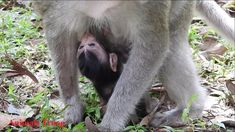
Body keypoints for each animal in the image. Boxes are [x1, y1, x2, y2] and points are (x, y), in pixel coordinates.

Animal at [32, 0, 233, 131]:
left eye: (92, 46)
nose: (87, 40)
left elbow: (153, 44)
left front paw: (111, 123)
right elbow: (59, 34)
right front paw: (72, 110)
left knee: (172, 45)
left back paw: (190, 109)